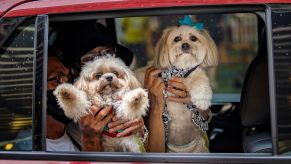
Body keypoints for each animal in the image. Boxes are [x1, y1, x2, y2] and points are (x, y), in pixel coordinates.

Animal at [155, 24, 219, 152]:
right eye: (176, 39)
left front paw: (202, 101)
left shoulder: (197, 74)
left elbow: (200, 83)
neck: (182, 70)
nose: (185, 45)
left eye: (193, 38)